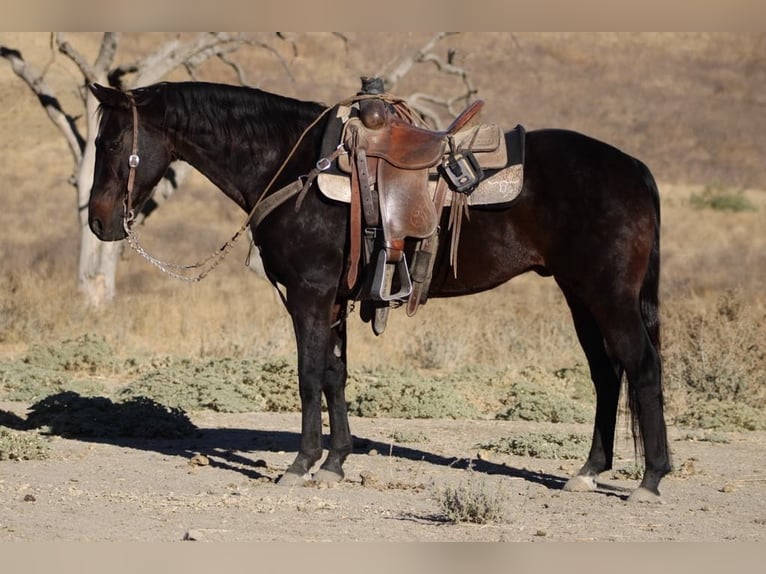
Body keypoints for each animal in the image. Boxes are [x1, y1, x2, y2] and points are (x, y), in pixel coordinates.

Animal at [87, 80, 670, 503]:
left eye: (110, 141)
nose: (98, 222)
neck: (292, 164)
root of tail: (635, 169)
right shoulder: (334, 300)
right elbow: (335, 375)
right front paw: (336, 461)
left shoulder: (308, 295)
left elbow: (308, 376)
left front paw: (301, 465)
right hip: (579, 295)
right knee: (606, 374)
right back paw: (588, 472)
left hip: (608, 295)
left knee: (640, 366)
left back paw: (650, 480)